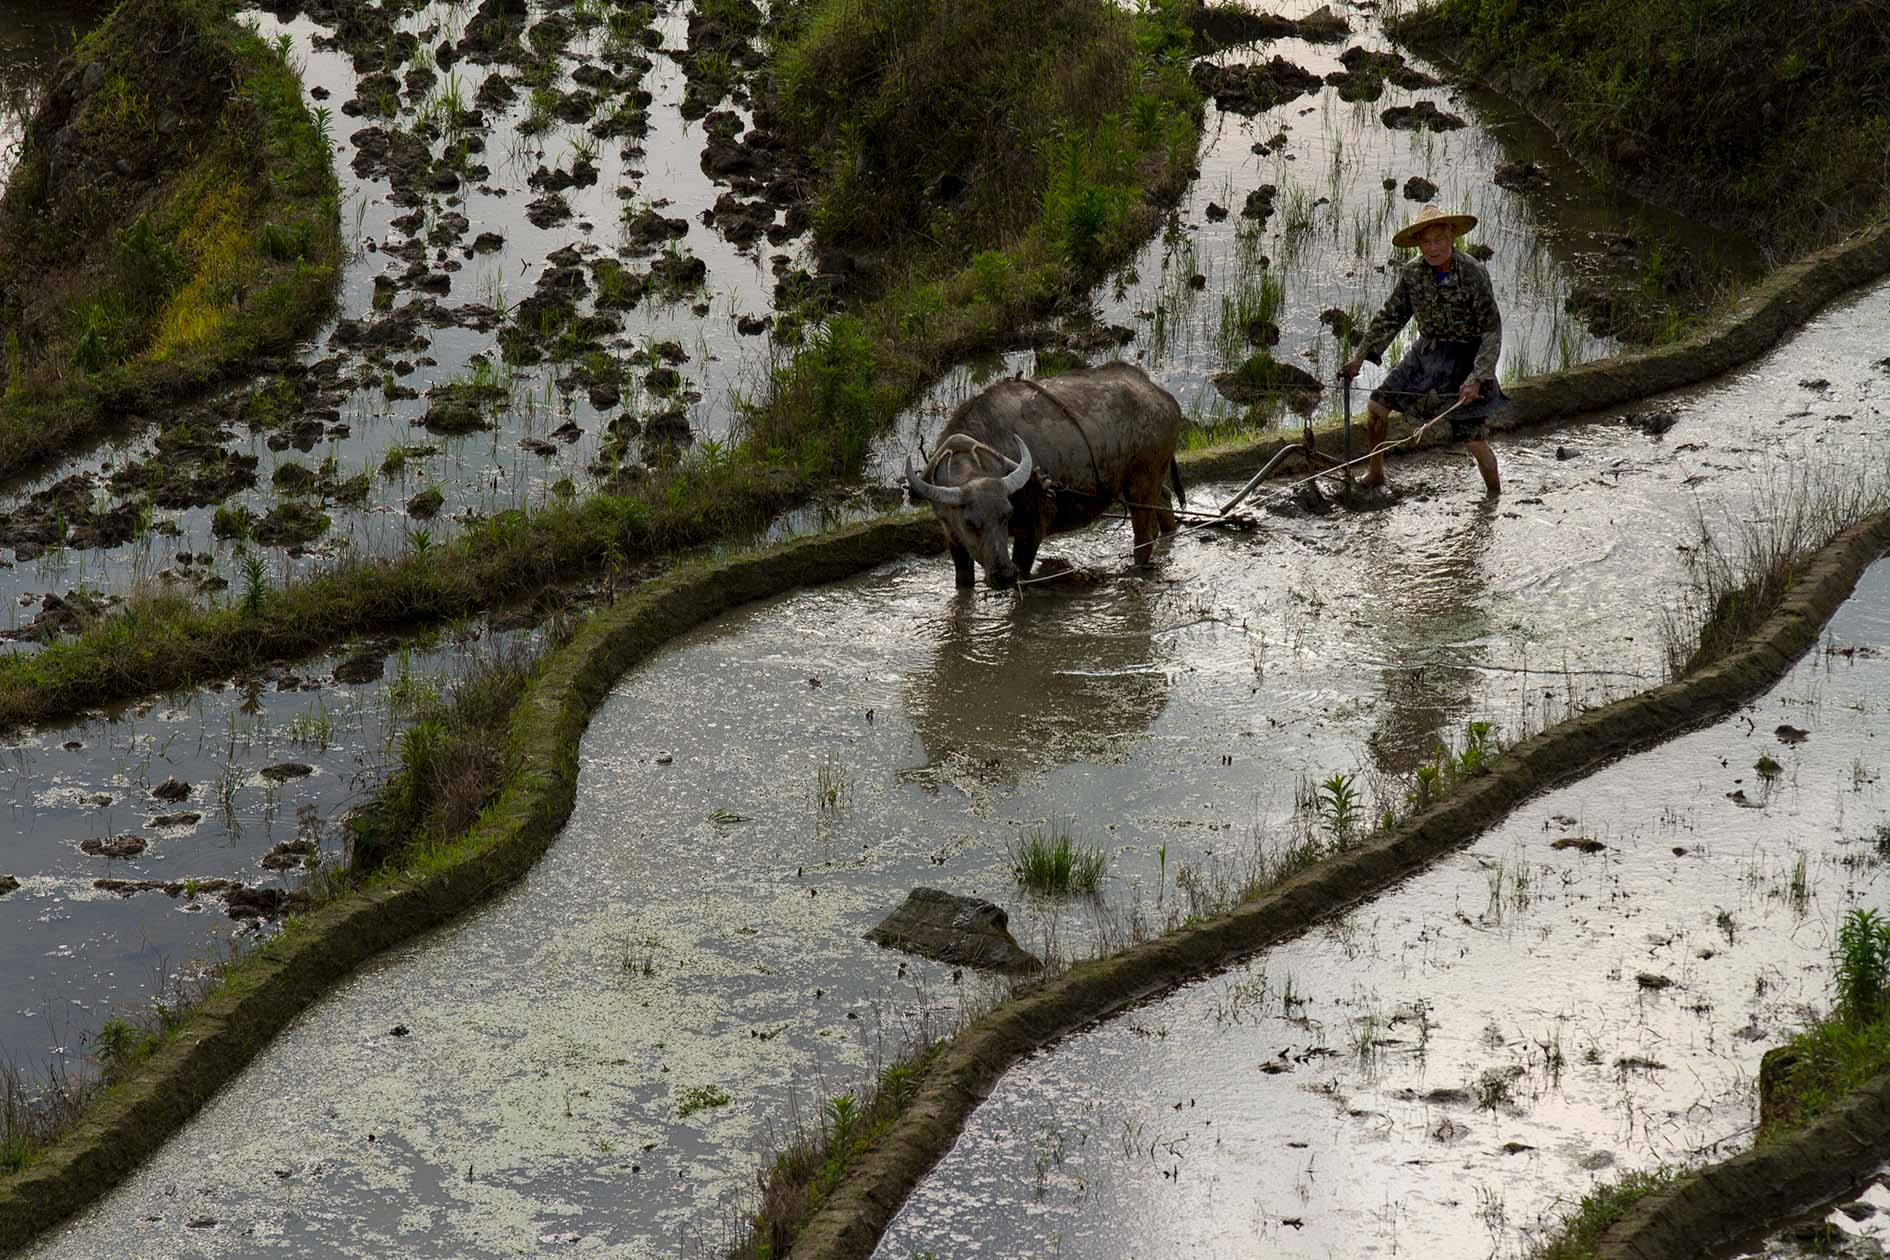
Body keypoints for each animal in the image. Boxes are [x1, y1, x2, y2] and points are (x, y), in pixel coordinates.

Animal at [899, 358, 1179, 585]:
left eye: (1006, 515)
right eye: (969, 523)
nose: (1003, 575)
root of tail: (1162, 397)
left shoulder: (1034, 527)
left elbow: (1024, 573)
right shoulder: (952, 536)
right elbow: (963, 580)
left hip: (1141, 483)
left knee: (1144, 535)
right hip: (1150, 476)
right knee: (1165, 500)